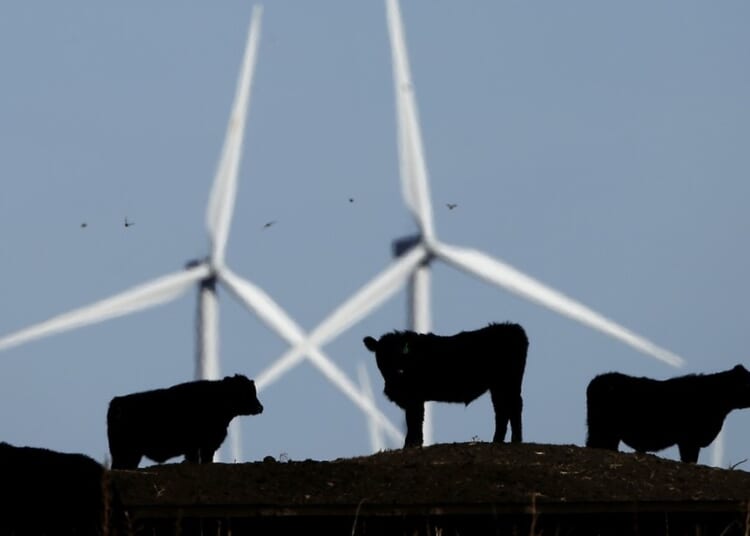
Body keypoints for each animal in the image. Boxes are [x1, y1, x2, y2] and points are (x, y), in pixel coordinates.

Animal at [106, 372, 264, 468]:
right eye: (247, 393)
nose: (260, 407)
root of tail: (117, 401)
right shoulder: (202, 445)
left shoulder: (200, 446)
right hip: (124, 451)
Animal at [362, 322, 528, 448]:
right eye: (381, 356)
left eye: (399, 354)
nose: (397, 371)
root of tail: (512, 327)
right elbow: (415, 421)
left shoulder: (414, 398)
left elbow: (414, 421)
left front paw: (410, 445)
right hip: (499, 387)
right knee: (502, 409)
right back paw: (498, 441)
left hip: (508, 383)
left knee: (514, 406)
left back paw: (516, 440)